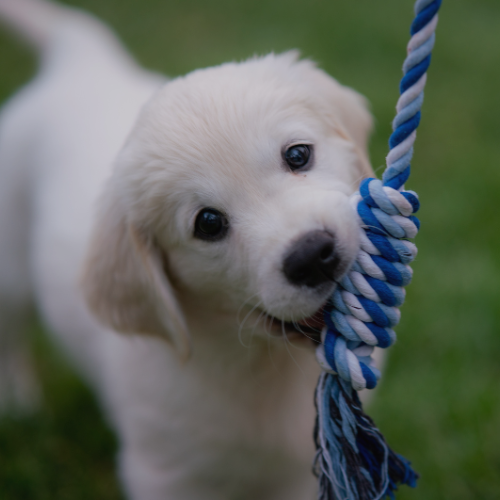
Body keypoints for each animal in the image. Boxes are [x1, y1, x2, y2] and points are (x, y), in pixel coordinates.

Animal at [0, 0, 376, 500]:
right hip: (9, 267)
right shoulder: (165, 473)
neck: (263, 365)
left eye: (298, 155)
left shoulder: (300, 476)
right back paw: (18, 405)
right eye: (208, 223)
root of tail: (81, 64)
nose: (313, 255)